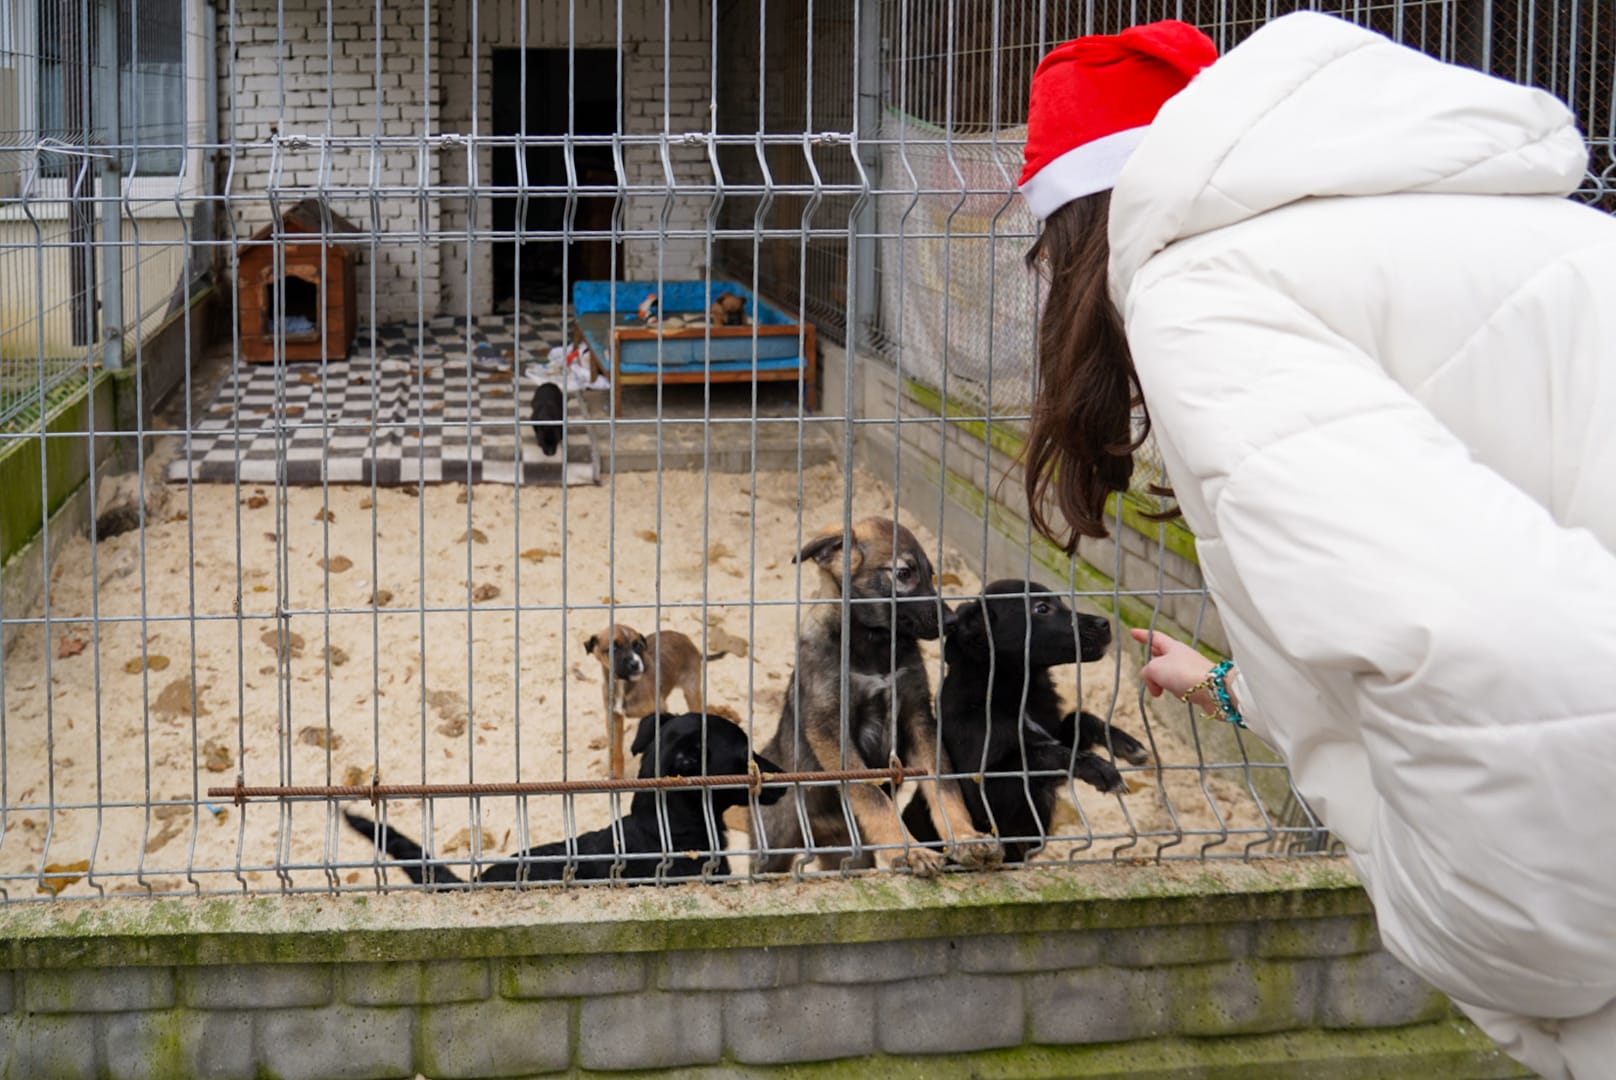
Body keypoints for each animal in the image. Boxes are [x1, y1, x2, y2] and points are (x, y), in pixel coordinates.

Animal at [586, 625, 726, 778]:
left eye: (638, 646)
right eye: (613, 649)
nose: (635, 664)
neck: (624, 685)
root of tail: (687, 640)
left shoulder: (659, 708)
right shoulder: (613, 717)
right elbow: (616, 750)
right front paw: (616, 776)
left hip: (691, 691)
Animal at [752, 517, 1000, 876]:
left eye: (931, 574)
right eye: (904, 573)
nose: (952, 622)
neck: (873, 644)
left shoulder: (917, 715)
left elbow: (944, 785)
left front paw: (965, 836)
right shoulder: (829, 727)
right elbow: (871, 794)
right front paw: (911, 852)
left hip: (846, 851)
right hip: (772, 849)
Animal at [902, 579, 1150, 863]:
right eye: (1041, 608)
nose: (1104, 623)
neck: (1020, 691)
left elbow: (1079, 720)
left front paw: (1126, 744)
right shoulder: (982, 790)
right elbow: (1037, 754)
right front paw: (1099, 769)